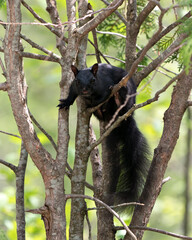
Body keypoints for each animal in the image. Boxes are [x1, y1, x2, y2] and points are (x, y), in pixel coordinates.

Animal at [58, 64, 150, 206]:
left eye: (93, 80)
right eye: (77, 81)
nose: (84, 90)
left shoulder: (105, 87)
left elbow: (101, 98)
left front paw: (92, 102)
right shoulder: (73, 86)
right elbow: (72, 94)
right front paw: (66, 102)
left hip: (127, 95)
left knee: (121, 99)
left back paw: (117, 98)